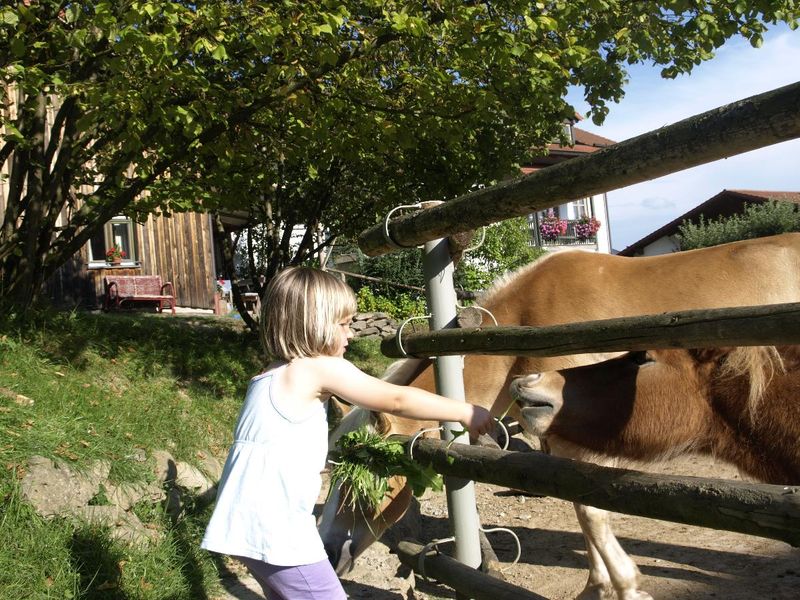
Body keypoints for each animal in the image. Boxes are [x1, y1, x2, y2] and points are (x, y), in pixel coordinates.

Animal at [320, 232, 800, 596]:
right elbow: (579, 508)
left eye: (370, 474)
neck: (527, 323)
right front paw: (597, 586)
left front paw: (625, 586)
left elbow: (592, 512)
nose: (327, 549)